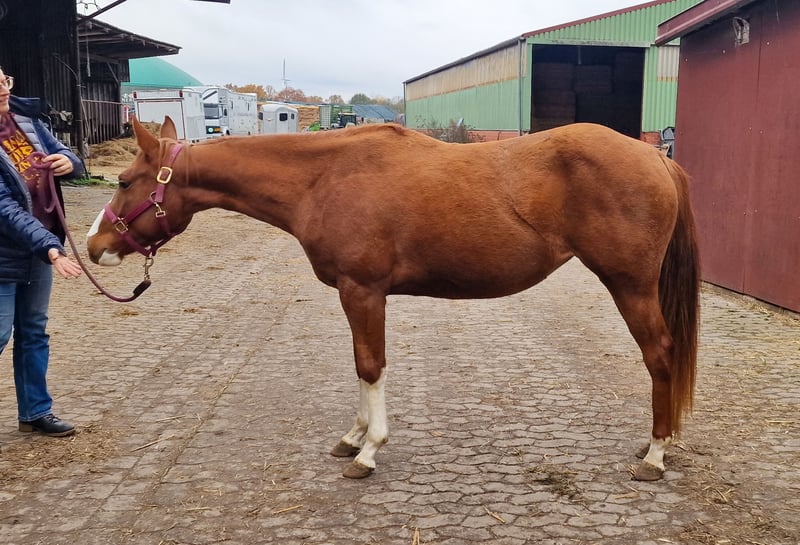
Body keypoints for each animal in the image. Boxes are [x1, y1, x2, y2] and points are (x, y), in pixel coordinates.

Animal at [86, 117, 699, 481]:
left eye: (123, 180)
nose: (94, 247)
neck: (323, 178)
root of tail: (657, 158)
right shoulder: (357, 295)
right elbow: (360, 366)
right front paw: (352, 436)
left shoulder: (364, 291)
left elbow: (370, 365)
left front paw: (369, 450)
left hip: (629, 285)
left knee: (660, 354)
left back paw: (655, 453)